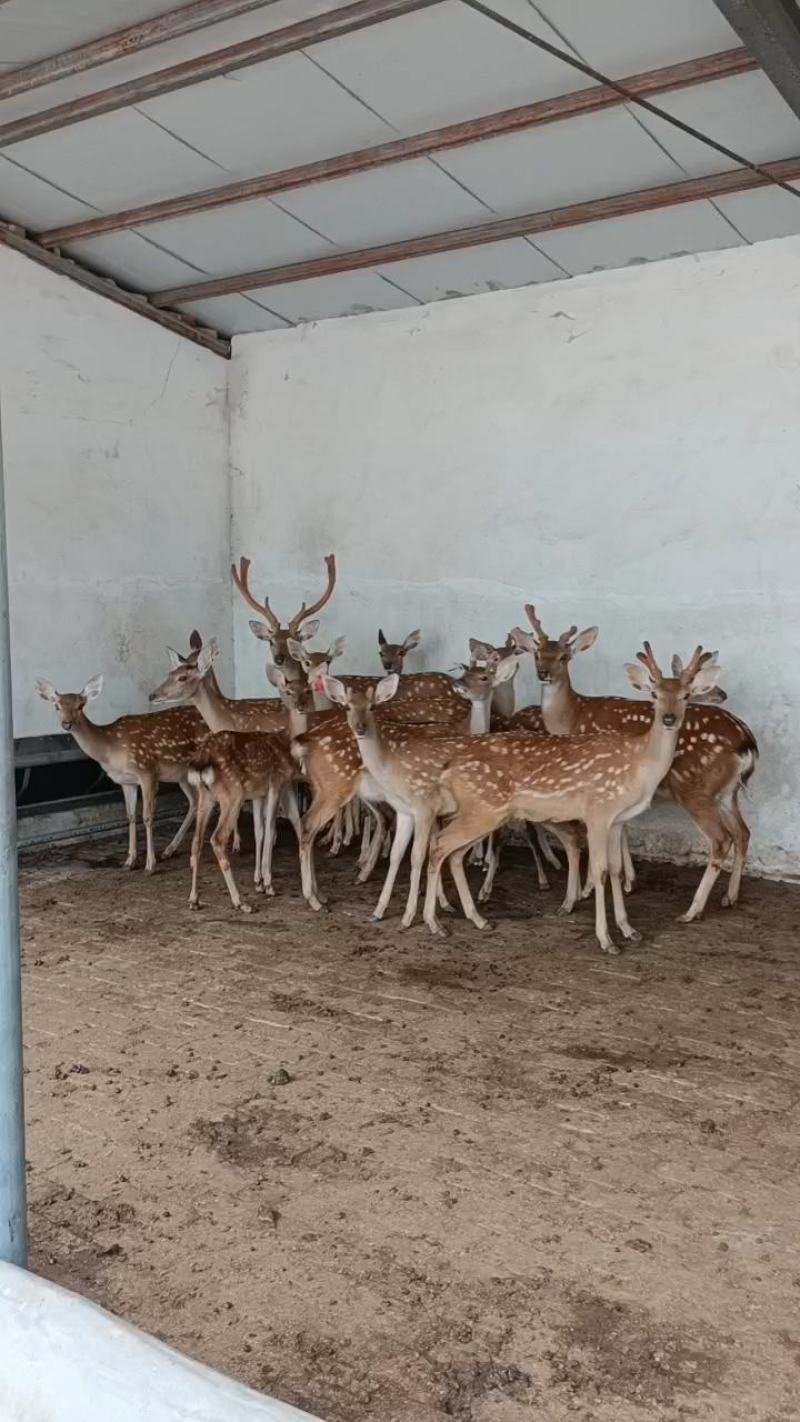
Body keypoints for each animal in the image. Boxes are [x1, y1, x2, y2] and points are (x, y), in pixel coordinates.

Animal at [36, 675, 206, 872]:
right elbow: (130, 816)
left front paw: (150, 865)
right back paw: (169, 850)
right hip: (182, 774)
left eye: (80, 706)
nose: (66, 724)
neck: (112, 750)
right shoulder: (126, 781)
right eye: (57, 706)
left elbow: (147, 816)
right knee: (194, 802)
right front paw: (129, 861)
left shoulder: (147, 771)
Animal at [317, 658, 579, 928]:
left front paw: (426, 908)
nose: (460, 684)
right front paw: (391, 909)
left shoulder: (429, 808)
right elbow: (412, 853)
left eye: (484, 677)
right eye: (347, 706)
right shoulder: (417, 810)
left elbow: (422, 853)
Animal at [423, 645, 724, 953]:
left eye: (686, 695)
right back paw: (435, 923)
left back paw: (478, 918)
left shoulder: (618, 819)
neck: (639, 766)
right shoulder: (598, 811)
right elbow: (600, 870)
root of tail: (448, 768)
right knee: (439, 845)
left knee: (453, 853)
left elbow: (616, 870)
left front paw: (629, 929)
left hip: (481, 811)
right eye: (654, 694)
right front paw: (606, 939)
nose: (669, 719)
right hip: (484, 809)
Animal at [511, 608, 757, 920]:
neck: (571, 717)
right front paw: (629, 881)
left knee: (721, 839)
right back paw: (730, 897)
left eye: (564, 657)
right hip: (727, 792)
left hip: (695, 788)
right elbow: (623, 829)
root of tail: (746, 740)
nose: (543, 674)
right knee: (742, 832)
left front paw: (588, 889)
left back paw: (692, 910)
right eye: (537, 653)